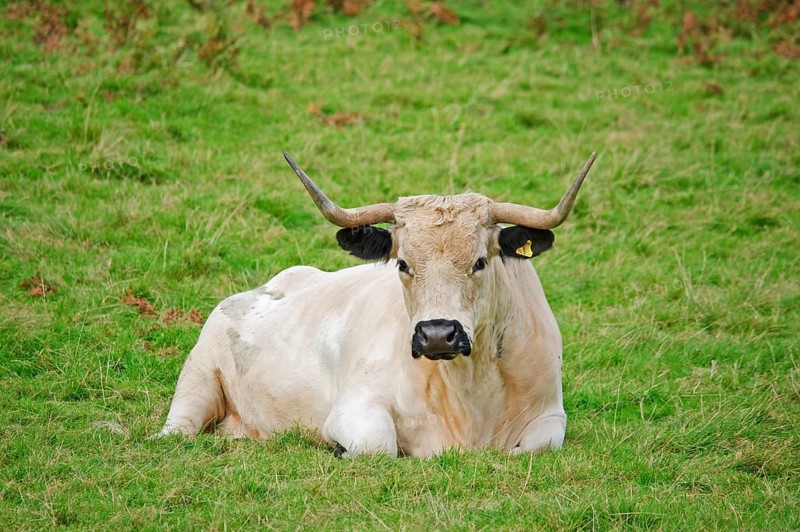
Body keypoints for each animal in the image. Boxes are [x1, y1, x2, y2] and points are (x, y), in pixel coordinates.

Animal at [157, 151, 597, 457]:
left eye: (479, 262)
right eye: (403, 264)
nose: (438, 335)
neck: (470, 386)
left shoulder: (551, 415)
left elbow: (534, 447)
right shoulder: (354, 406)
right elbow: (376, 444)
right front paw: (338, 449)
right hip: (197, 380)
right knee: (178, 428)